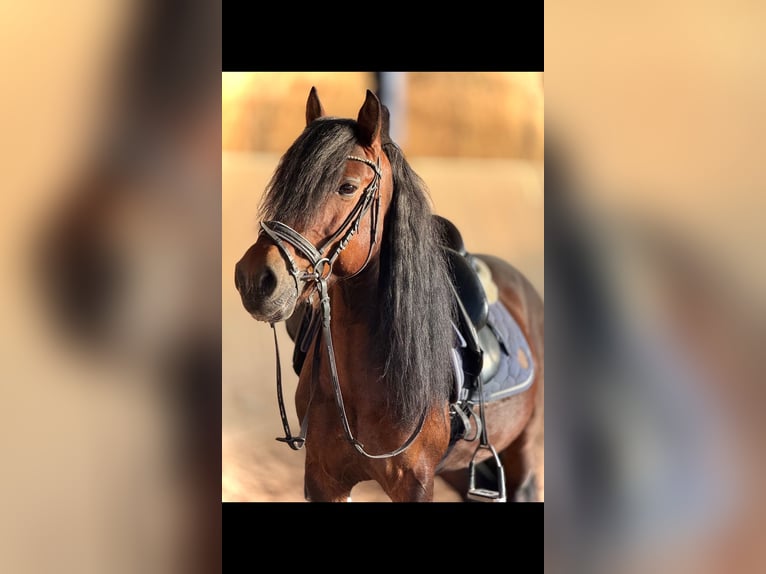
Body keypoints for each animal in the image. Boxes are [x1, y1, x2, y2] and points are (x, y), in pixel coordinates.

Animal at [234, 87, 544, 502]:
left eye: (347, 186)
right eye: (283, 185)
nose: (256, 278)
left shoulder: (414, 482)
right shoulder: (323, 479)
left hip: (524, 452)